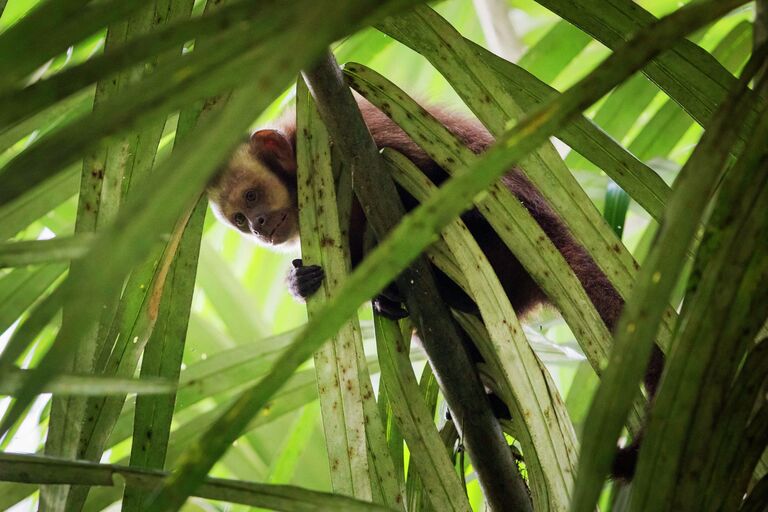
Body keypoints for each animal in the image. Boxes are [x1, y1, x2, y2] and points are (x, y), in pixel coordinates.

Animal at [207, 96, 664, 480]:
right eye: (239, 218)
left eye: (253, 196)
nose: (258, 227)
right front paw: (300, 281)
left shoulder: (353, 131)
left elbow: (422, 171)